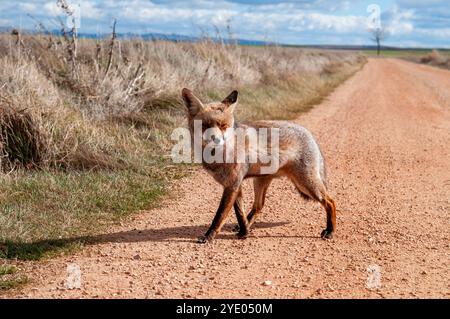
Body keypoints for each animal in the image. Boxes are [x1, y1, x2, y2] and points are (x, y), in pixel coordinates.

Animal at [181, 89, 336, 244]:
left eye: (224, 126)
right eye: (205, 126)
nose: (217, 140)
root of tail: (308, 133)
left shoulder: (232, 184)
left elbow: (219, 216)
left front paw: (209, 236)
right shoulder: (236, 185)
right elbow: (240, 213)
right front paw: (244, 232)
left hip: (307, 184)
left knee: (330, 201)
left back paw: (330, 230)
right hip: (261, 182)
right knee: (258, 206)